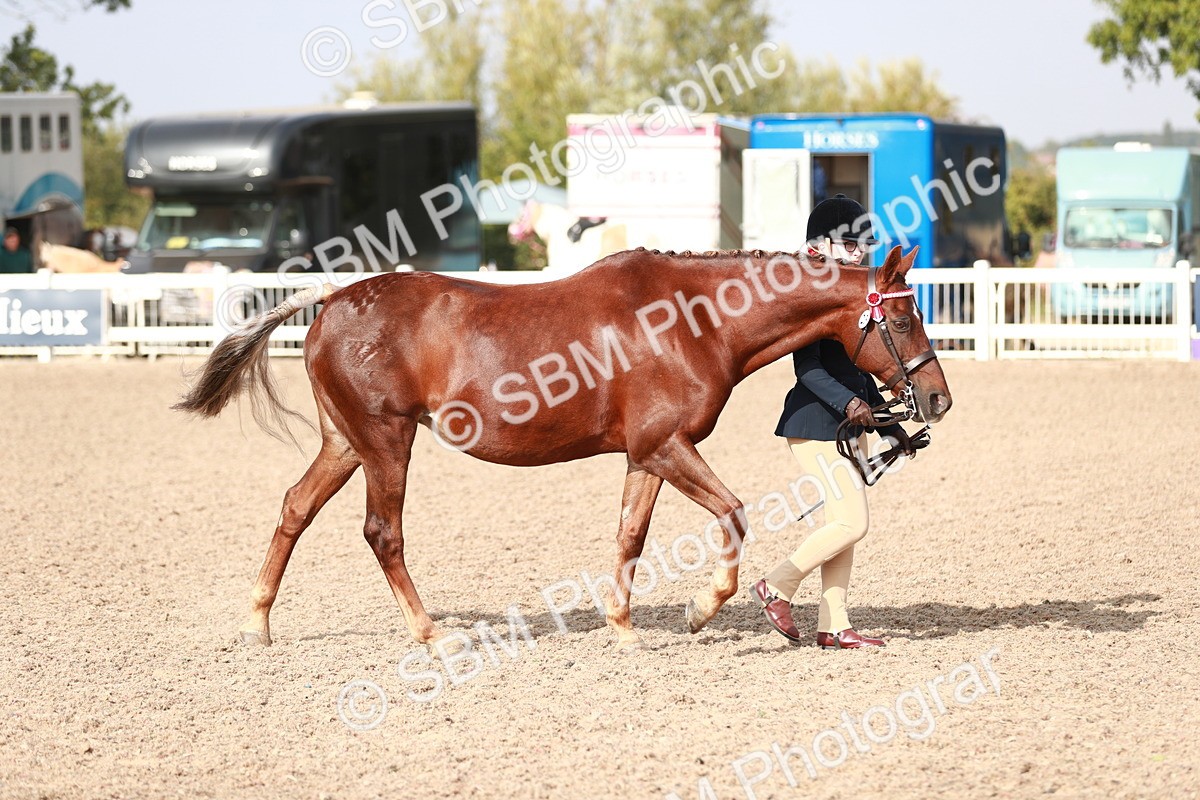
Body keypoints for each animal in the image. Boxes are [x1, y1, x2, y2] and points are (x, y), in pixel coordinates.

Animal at [174, 244, 951, 652]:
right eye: (904, 318)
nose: (937, 399)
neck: (691, 320)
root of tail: (333, 300)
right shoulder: (666, 447)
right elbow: (732, 514)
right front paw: (702, 612)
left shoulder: (645, 456)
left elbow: (630, 536)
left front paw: (624, 627)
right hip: (386, 440)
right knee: (381, 531)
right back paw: (430, 633)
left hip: (345, 443)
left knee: (294, 509)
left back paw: (258, 623)